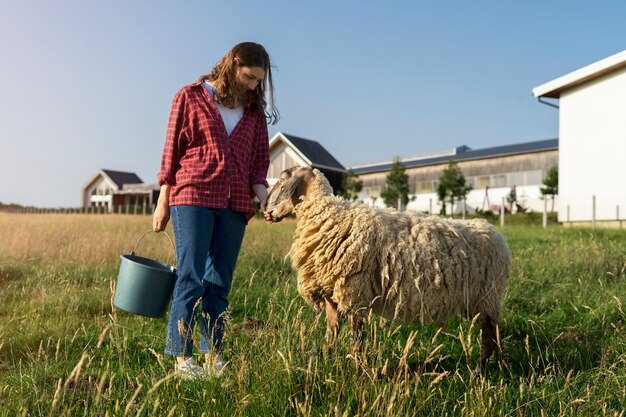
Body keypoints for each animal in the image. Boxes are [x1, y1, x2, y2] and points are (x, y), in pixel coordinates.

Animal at [260, 166, 510, 368]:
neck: (327, 216)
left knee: (489, 335)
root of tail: (497, 235)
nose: (267, 213)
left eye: (282, 180)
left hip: (487, 296)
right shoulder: (332, 295)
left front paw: (357, 370)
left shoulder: (355, 293)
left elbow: (356, 339)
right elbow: (332, 334)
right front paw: (327, 362)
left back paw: (481, 370)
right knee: (491, 334)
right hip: (478, 299)